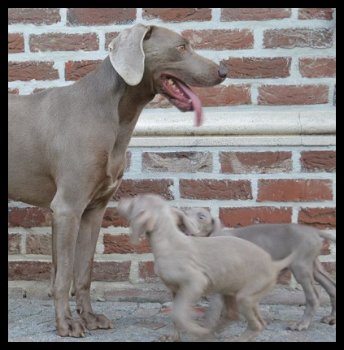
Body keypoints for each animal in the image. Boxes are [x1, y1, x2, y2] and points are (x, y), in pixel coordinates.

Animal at [7, 23, 226, 336]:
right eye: (181, 47)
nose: (223, 71)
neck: (111, 112)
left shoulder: (93, 211)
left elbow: (83, 271)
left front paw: (89, 317)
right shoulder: (67, 208)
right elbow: (63, 275)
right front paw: (66, 323)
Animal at [117, 194, 296, 342]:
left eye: (134, 202)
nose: (119, 200)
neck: (168, 241)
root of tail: (273, 264)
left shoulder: (195, 282)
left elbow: (179, 314)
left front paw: (195, 330)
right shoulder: (175, 290)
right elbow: (176, 315)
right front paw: (174, 336)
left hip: (245, 295)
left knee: (255, 325)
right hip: (234, 292)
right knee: (242, 318)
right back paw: (215, 330)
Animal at [184, 208, 338, 330]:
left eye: (201, 217)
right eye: (185, 213)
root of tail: (315, 231)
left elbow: (215, 305)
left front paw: (206, 325)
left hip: (300, 265)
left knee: (313, 297)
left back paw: (302, 324)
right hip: (313, 265)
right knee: (331, 286)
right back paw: (331, 317)